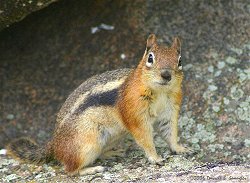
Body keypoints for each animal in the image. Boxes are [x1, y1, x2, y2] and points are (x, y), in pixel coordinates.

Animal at [7, 34, 189, 176]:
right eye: (150, 58)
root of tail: (54, 144)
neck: (160, 92)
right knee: (69, 169)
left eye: (180, 60)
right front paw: (155, 157)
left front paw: (180, 148)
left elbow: (170, 133)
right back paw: (92, 169)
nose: (166, 75)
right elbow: (145, 138)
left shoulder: (169, 111)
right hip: (87, 144)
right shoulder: (135, 114)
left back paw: (110, 153)